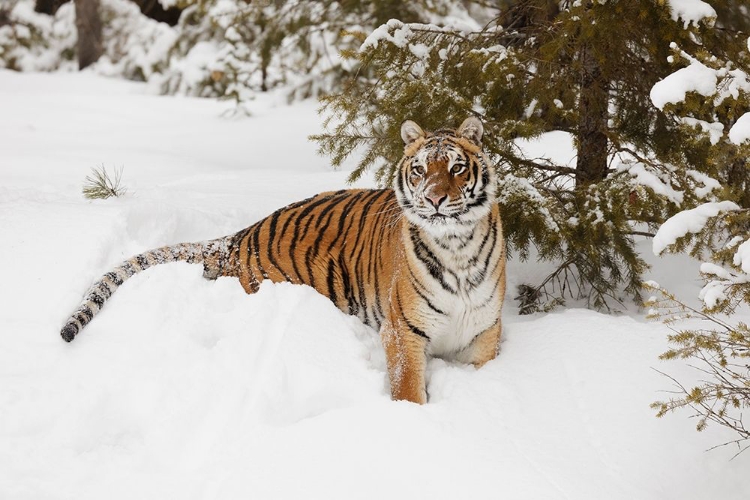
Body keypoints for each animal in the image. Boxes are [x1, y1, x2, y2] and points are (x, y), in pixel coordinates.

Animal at [60, 118, 506, 406]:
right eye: (419, 170)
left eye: (456, 167)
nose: (434, 198)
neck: (457, 248)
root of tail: (240, 235)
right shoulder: (403, 331)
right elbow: (409, 390)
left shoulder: (484, 332)